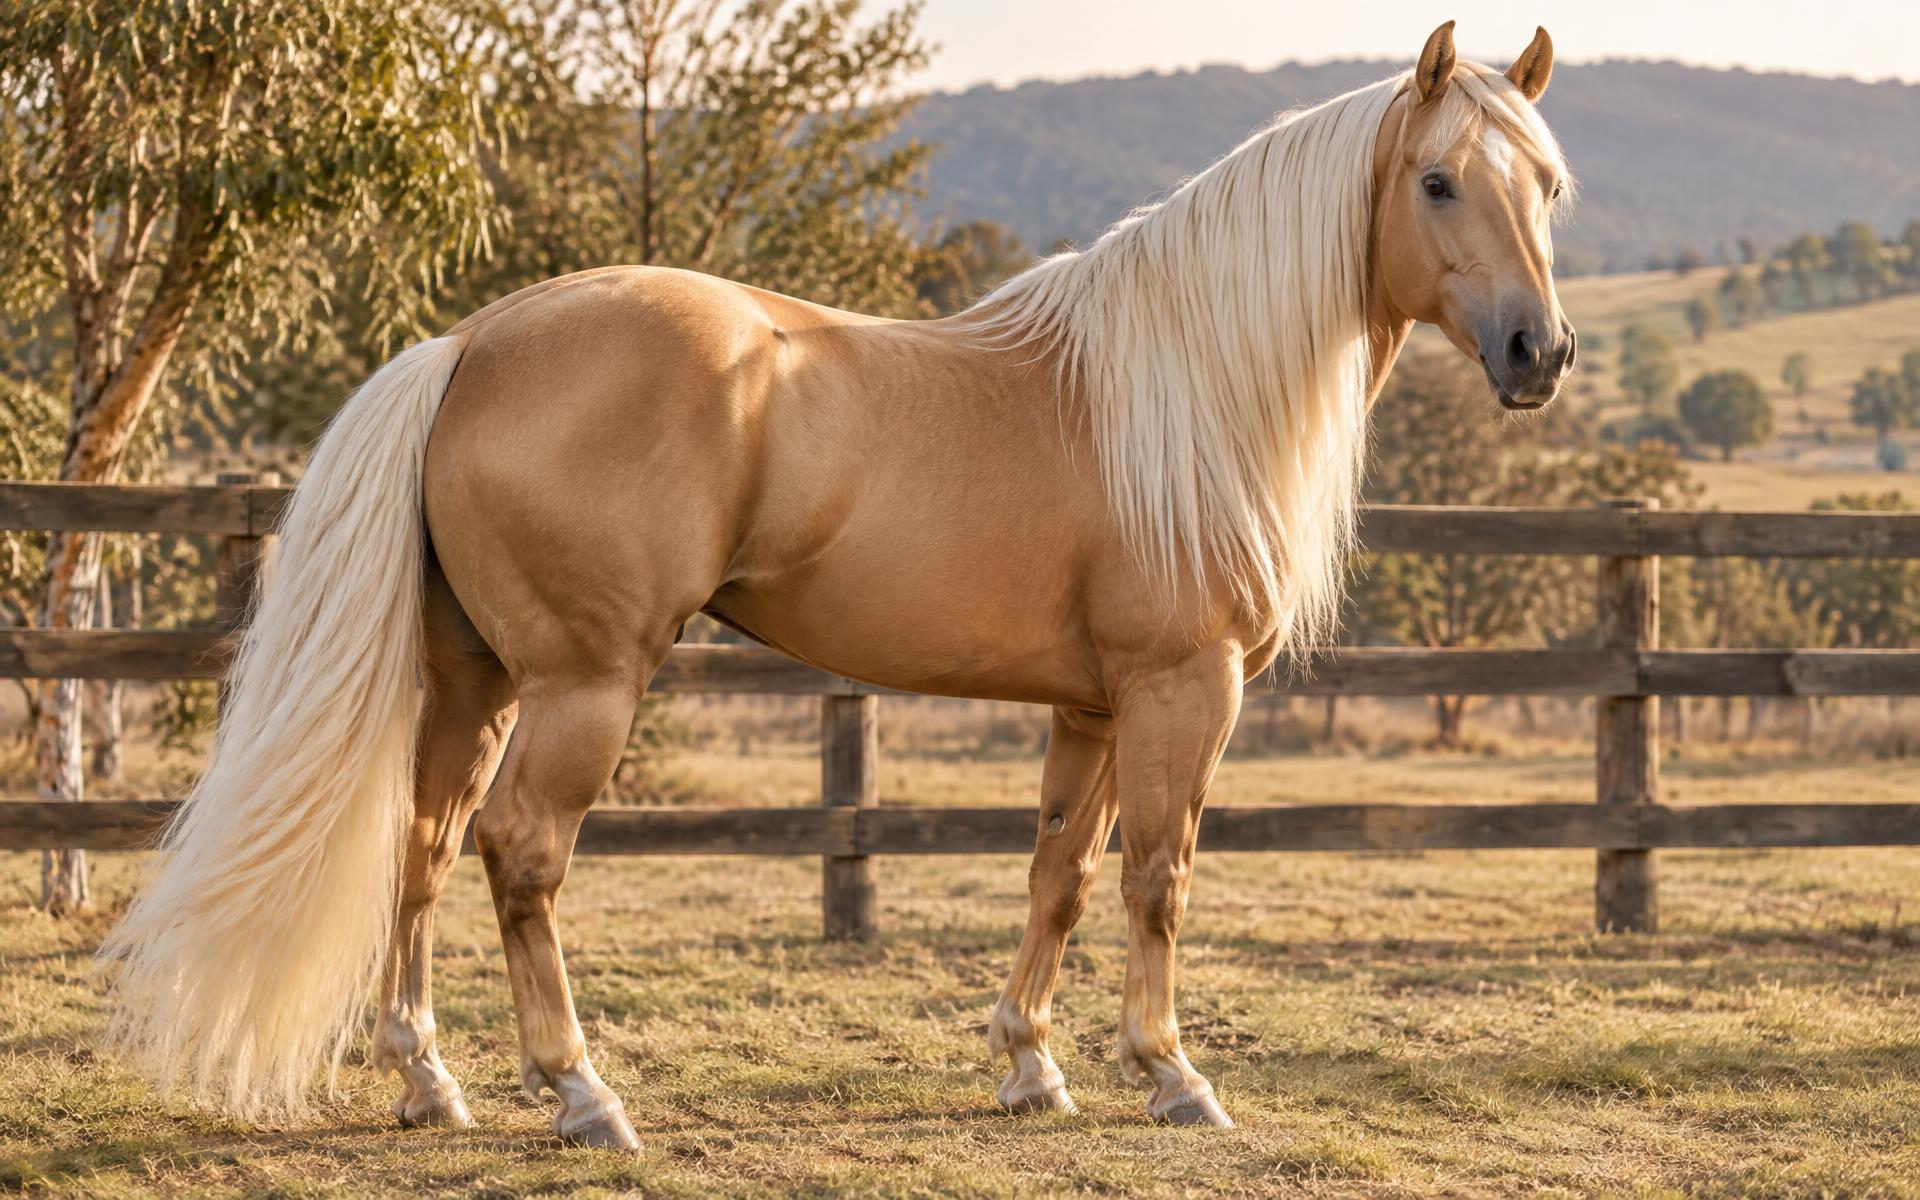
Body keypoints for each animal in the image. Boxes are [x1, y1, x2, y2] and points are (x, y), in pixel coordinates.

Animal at [100, 22, 1574, 1146]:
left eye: (1545, 187)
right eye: (1438, 181)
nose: (1539, 352)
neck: (1181, 391)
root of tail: (469, 342)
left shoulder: (1089, 709)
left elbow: (1059, 875)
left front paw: (1029, 1065)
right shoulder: (1180, 693)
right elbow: (1160, 875)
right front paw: (1170, 1075)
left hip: (476, 679)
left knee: (420, 842)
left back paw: (430, 1083)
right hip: (583, 684)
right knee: (520, 852)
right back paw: (581, 1094)